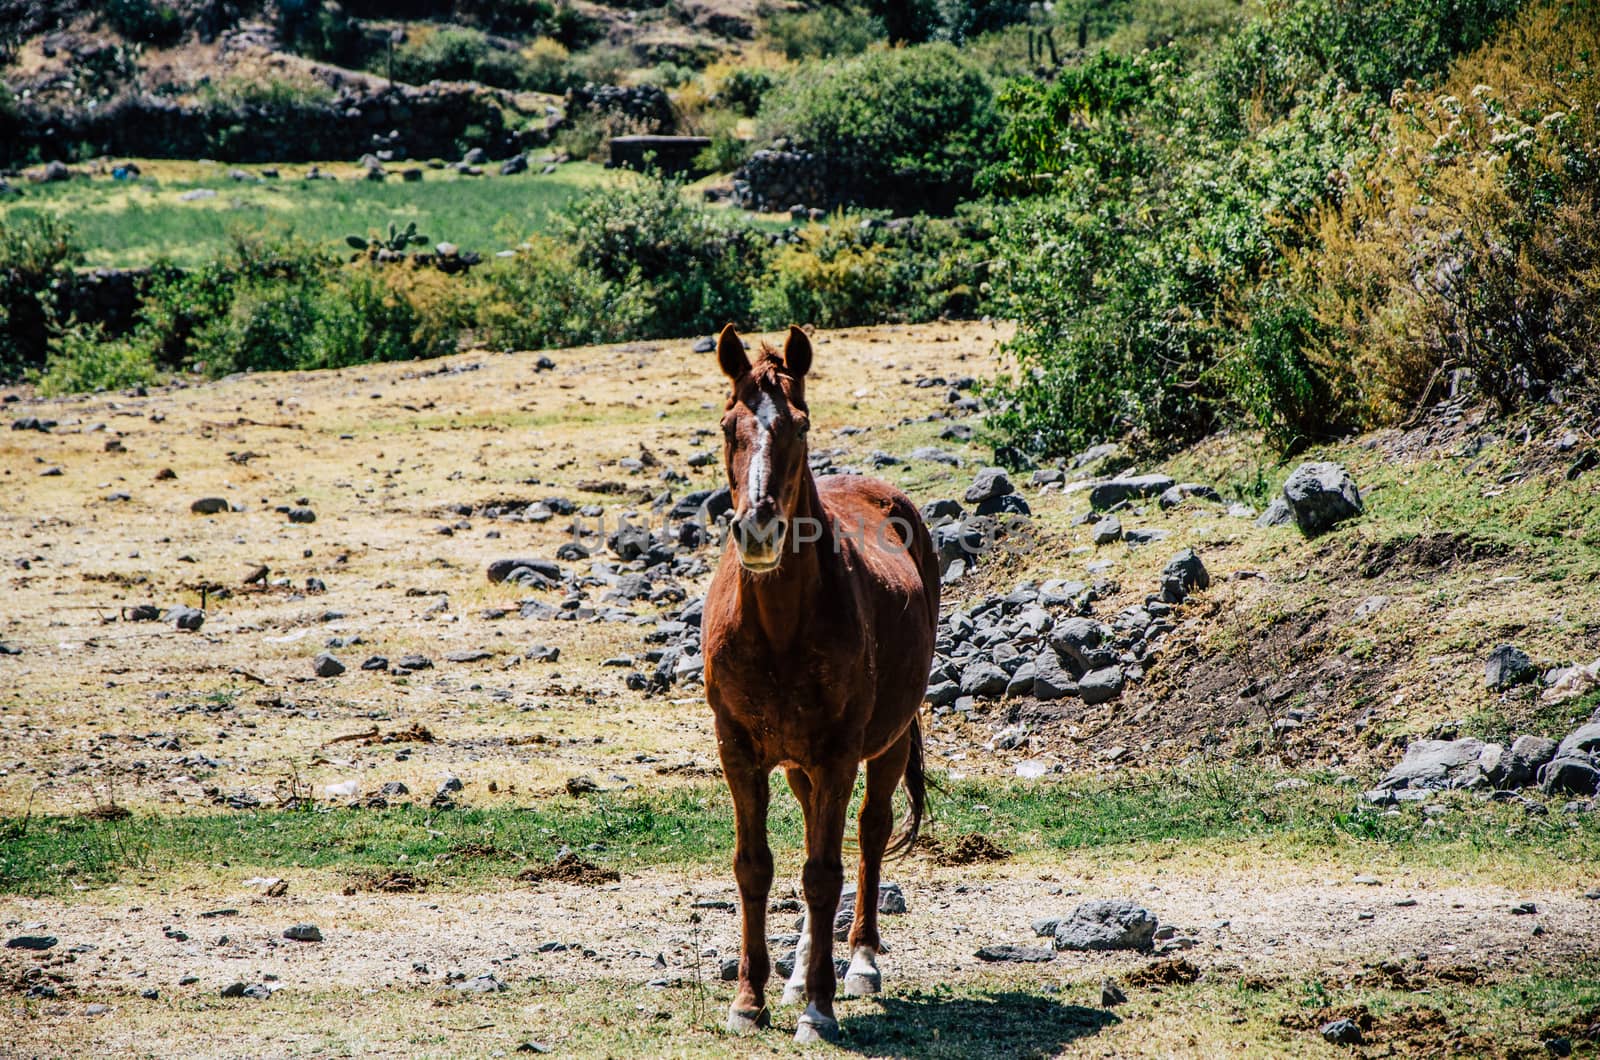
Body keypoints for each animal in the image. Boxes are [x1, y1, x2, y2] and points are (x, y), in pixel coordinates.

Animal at [700, 323, 934, 1043]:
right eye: (729, 425)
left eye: (799, 425)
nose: (758, 528)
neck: (778, 627)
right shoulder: (739, 751)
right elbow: (755, 866)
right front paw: (750, 1000)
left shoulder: (837, 753)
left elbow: (825, 873)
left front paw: (820, 1009)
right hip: (800, 764)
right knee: (811, 833)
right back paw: (802, 970)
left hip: (884, 745)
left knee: (869, 832)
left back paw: (857, 961)